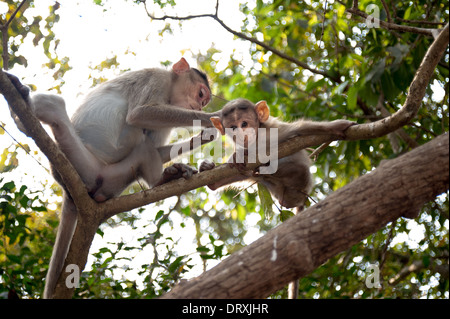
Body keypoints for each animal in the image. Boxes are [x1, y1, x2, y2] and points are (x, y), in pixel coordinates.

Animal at [7, 57, 218, 300]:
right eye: (201, 94)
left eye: (203, 100)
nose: (200, 107)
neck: (169, 90)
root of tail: (68, 188)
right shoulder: (155, 79)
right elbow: (139, 114)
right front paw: (213, 119)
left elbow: (155, 145)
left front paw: (206, 135)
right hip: (78, 160)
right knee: (55, 105)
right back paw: (22, 110)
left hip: (114, 178)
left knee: (144, 145)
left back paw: (162, 179)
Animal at [201, 99, 356, 211]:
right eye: (233, 127)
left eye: (244, 123)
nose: (240, 134)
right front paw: (236, 155)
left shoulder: (274, 131)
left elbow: (300, 129)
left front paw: (338, 126)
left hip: (299, 184)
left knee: (295, 170)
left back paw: (263, 170)